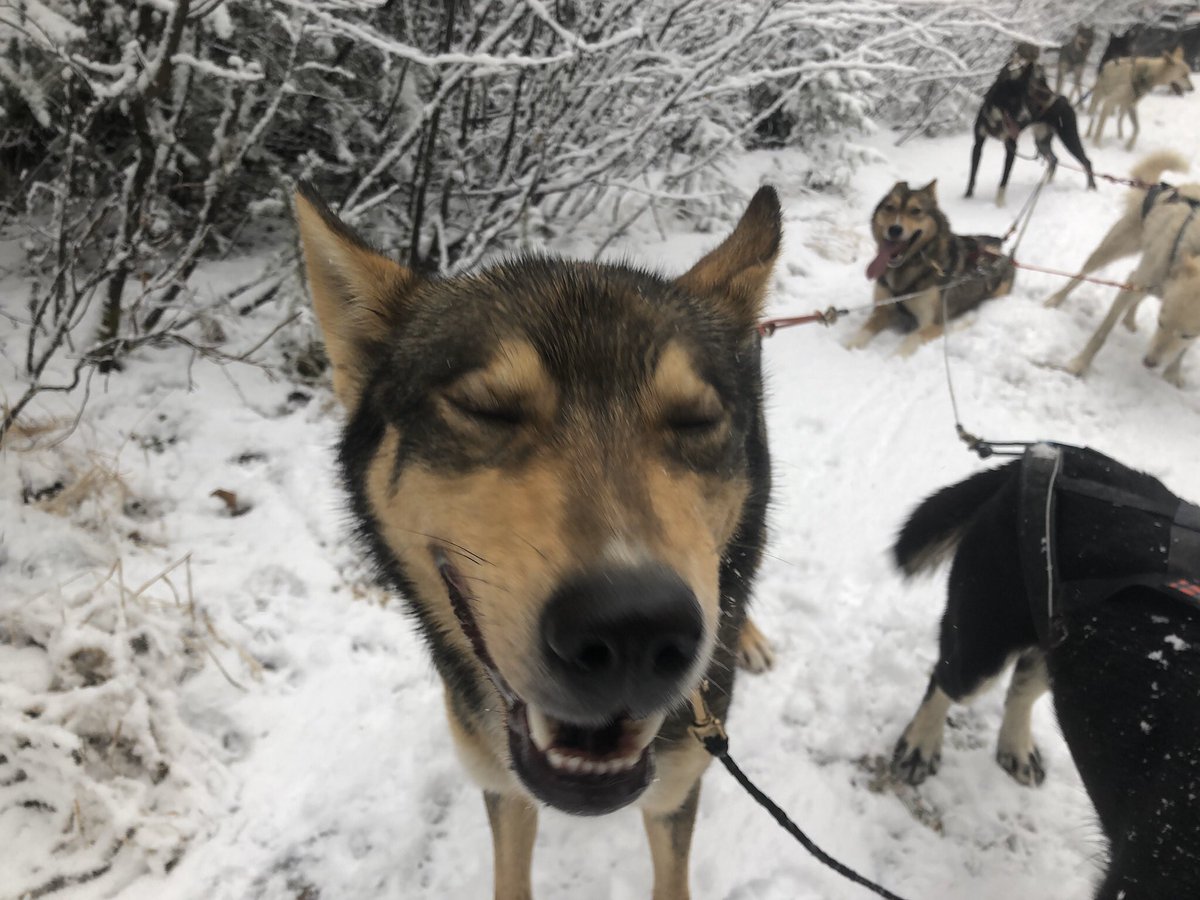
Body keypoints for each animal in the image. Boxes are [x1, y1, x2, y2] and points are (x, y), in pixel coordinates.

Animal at [854, 180, 1012, 355]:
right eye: (889, 207)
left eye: (916, 211)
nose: (894, 229)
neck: (909, 267)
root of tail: (1001, 253)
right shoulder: (882, 310)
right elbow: (862, 332)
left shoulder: (932, 324)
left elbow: (908, 342)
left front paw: (893, 358)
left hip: (997, 293)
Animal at [892, 444, 1200, 900]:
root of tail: (1050, 451)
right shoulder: (1141, 877)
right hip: (983, 644)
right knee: (945, 678)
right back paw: (921, 745)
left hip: (1057, 633)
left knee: (1022, 683)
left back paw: (1016, 748)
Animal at [964, 57, 1099, 208]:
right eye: (1014, 100)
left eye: (1025, 98)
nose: (1026, 118)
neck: (997, 120)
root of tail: (1062, 98)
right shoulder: (978, 144)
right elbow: (972, 174)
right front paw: (967, 197)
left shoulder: (1012, 147)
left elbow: (1004, 178)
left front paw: (999, 203)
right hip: (1041, 142)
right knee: (1054, 159)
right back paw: (1046, 185)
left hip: (1069, 137)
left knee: (1086, 161)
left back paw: (1091, 188)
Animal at [1041, 151, 1200, 384]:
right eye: (1159, 322)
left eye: (1187, 334)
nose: (1149, 362)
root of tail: (1162, 188)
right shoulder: (1131, 285)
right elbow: (1101, 333)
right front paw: (1079, 364)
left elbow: (1183, 350)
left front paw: (1173, 372)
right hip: (1112, 251)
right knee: (1080, 276)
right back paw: (1055, 299)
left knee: (1140, 296)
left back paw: (1129, 319)